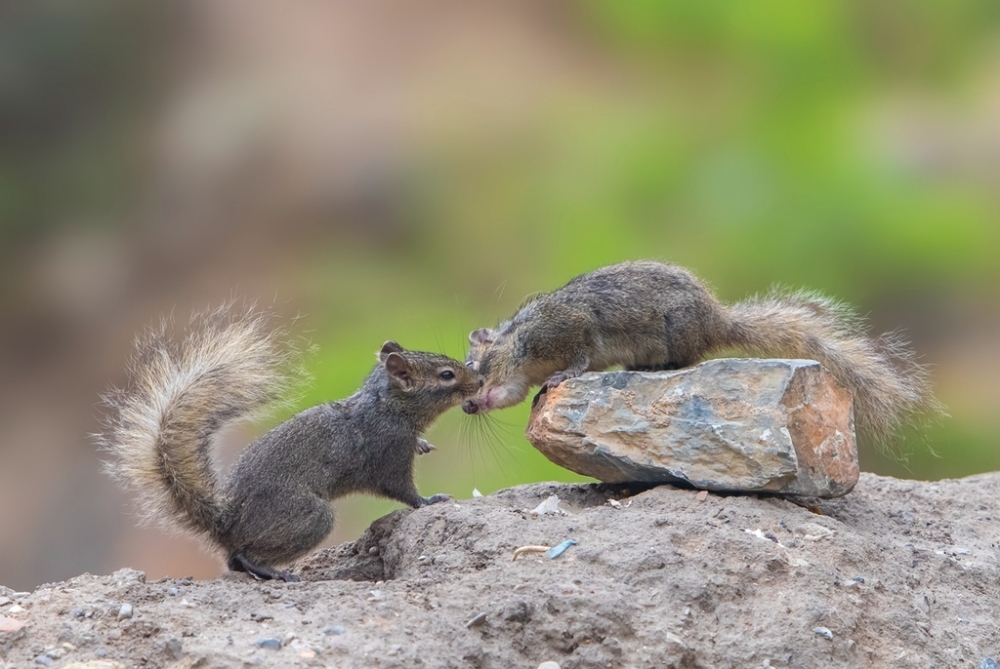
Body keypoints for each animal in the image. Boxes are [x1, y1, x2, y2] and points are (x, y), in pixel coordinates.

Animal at [98, 306, 484, 580]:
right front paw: (429, 500)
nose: (480, 380)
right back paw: (275, 572)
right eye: (447, 375)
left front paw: (423, 445)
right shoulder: (386, 453)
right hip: (309, 518)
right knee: (242, 556)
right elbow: (402, 490)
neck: (385, 407)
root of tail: (226, 523)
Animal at [460, 260, 936, 444]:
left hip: (676, 333)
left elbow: (579, 357)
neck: (521, 344)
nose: (465, 407)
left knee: (688, 360)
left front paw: (560, 377)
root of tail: (718, 321)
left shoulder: (569, 328)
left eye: (474, 367)